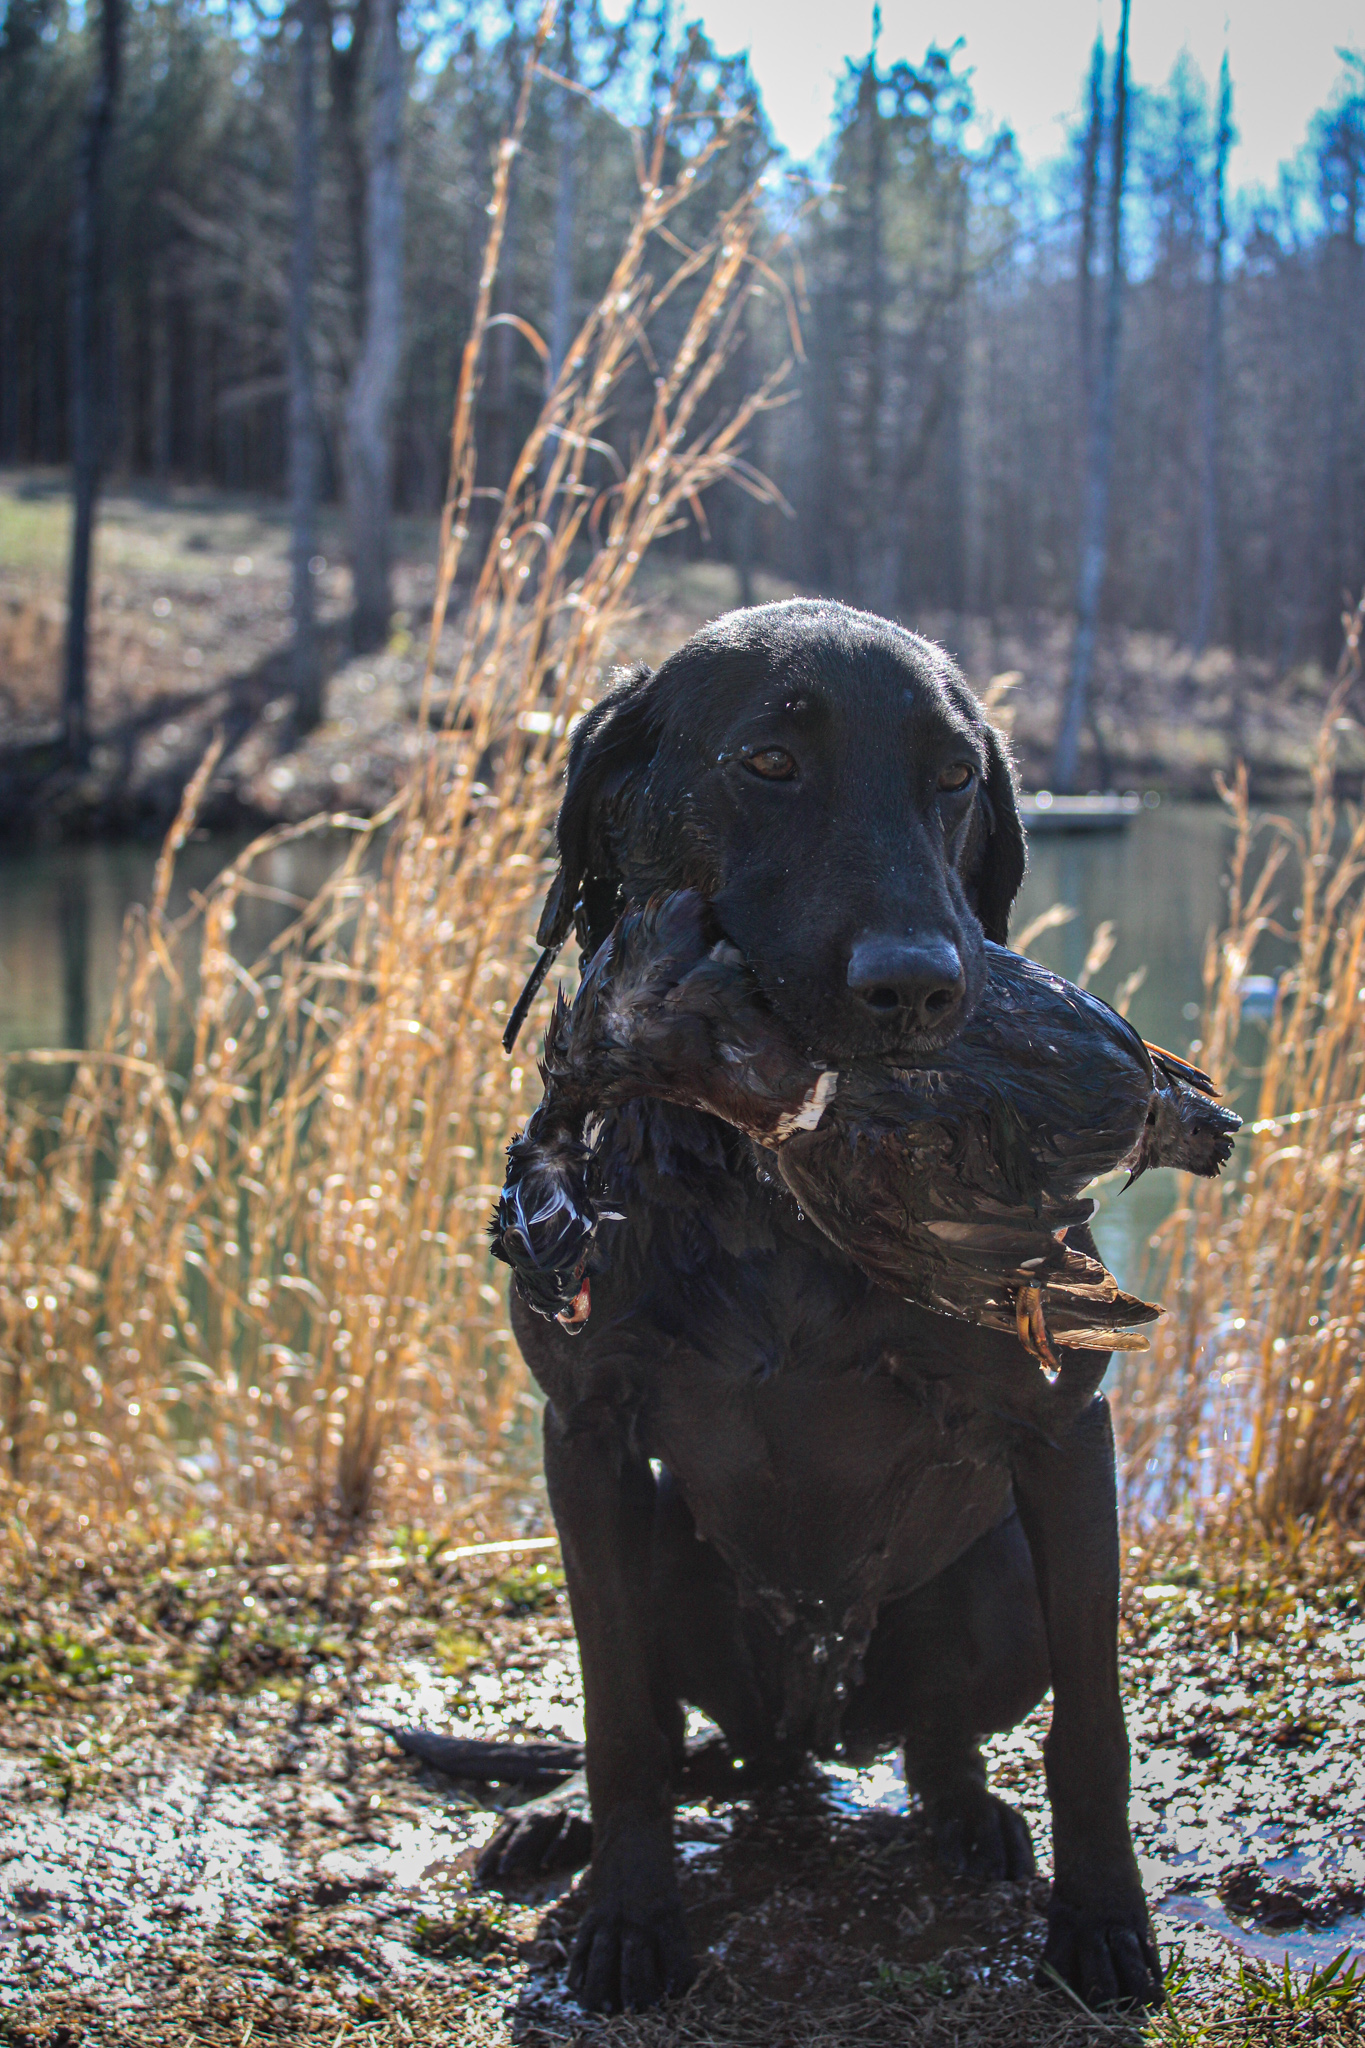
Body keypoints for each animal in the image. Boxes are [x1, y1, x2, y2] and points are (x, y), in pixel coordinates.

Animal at [480, 602, 1162, 2015]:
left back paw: (967, 1815)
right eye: (770, 762)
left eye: (954, 777)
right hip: (661, 1549)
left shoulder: (1068, 1428)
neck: (765, 1194)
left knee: (942, 1740)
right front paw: (629, 1916)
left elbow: (1095, 1725)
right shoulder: (585, 1433)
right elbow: (616, 1715)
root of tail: (808, 1722)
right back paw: (559, 1817)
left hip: (1000, 1582)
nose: (921, 989)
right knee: (655, 1722)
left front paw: (1103, 1919)